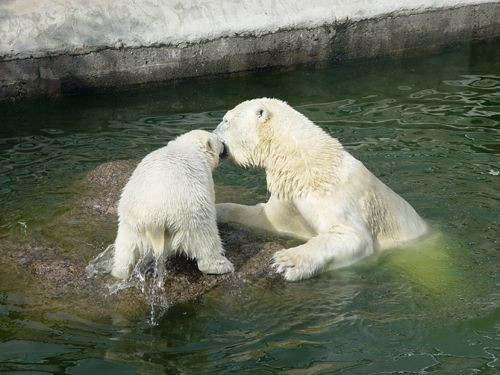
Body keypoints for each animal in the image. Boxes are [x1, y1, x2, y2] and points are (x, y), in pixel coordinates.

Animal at [110, 129, 233, 280]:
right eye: (219, 140)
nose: (226, 145)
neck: (187, 147)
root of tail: (155, 218)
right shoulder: (206, 178)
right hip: (191, 214)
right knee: (205, 237)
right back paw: (222, 265)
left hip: (132, 222)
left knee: (125, 247)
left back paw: (120, 271)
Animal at [213, 98, 428, 280]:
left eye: (226, 120)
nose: (213, 135)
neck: (305, 166)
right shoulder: (289, 198)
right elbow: (264, 216)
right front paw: (217, 211)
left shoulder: (332, 196)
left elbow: (351, 236)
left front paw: (287, 261)